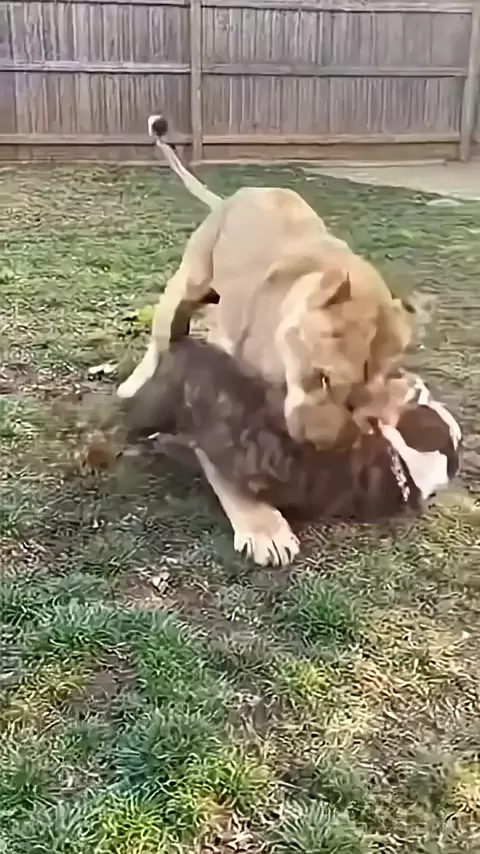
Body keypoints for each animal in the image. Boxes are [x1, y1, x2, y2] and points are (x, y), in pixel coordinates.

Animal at [117, 115, 415, 448]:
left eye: (359, 401)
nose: (322, 443)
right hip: (189, 282)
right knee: (159, 340)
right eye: (324, 378)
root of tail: (231, 199)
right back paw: (133, 383)